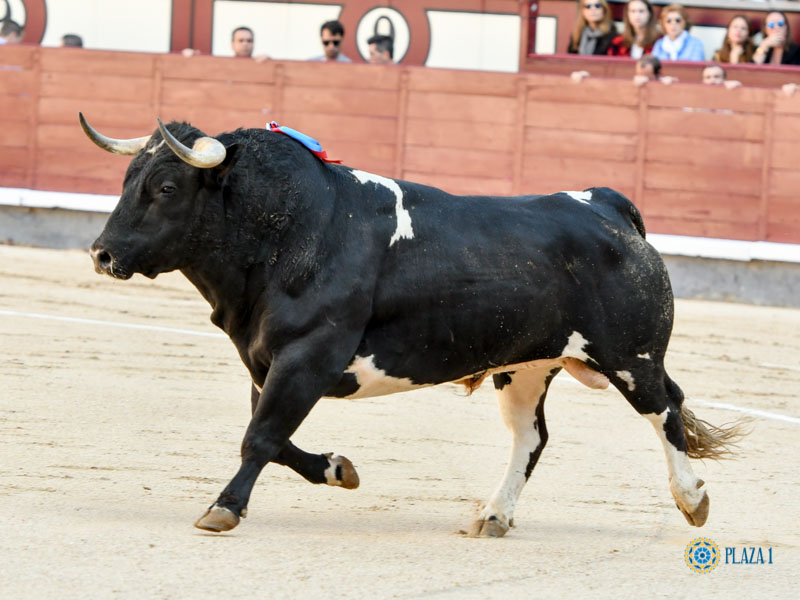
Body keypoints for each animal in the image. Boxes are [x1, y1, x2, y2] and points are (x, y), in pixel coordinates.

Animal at [78, 115, 740, 536]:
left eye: (165, 187)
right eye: (126, 181)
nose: (103, 254)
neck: (289, 229)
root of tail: (604, 204)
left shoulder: (307, 357)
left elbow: (259, 437)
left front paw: (224, 509)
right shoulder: (267, 362)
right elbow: (271, 436)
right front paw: (338, 469)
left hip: (632, 357)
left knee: (665, 408)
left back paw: (694, 499)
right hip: (527, 366)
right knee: (532, 437)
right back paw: (493, 516)